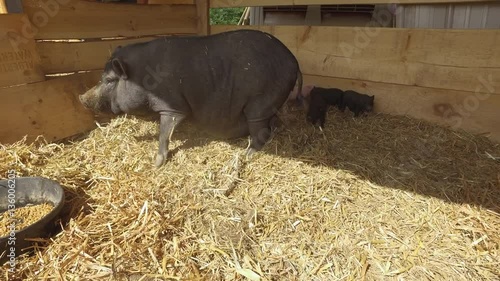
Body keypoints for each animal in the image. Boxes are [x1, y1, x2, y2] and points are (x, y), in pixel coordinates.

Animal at [80, 29, 302, 166]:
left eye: (109, 80)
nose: (81, 97)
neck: (143, 77)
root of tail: (294, 61)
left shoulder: (172, 105)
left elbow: (164, 133)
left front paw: (156, 164)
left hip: (259, 104)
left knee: (262, 132)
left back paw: (245, 155)